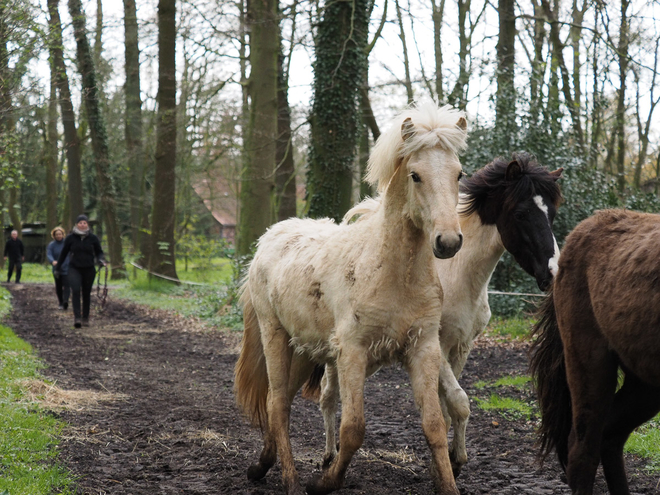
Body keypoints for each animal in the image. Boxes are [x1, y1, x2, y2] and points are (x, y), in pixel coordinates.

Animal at [235, 101, 466, 495]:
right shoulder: (353, 353)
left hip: (303, 350)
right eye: (416, 175)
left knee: (280, 403)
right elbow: (353, 429)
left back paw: (261, 465)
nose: (448, 242)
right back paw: (291, 480)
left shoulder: (424, 349)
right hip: (274, 335)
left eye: (459, 174)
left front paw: (449, 486)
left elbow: (435, 426)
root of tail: (268, 237)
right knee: (277, 403)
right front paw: (324, 482)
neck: (392, 273)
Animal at [314, 155, 564, 476]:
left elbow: (446, 407)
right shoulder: (437, 346)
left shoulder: (460, 348)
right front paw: (455, 460)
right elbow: (459, 401)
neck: (457, 274)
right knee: (327, 395)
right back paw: (329, 455)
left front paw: (445, 462)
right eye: (521, 214)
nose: (553, 273)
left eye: (552, 214)